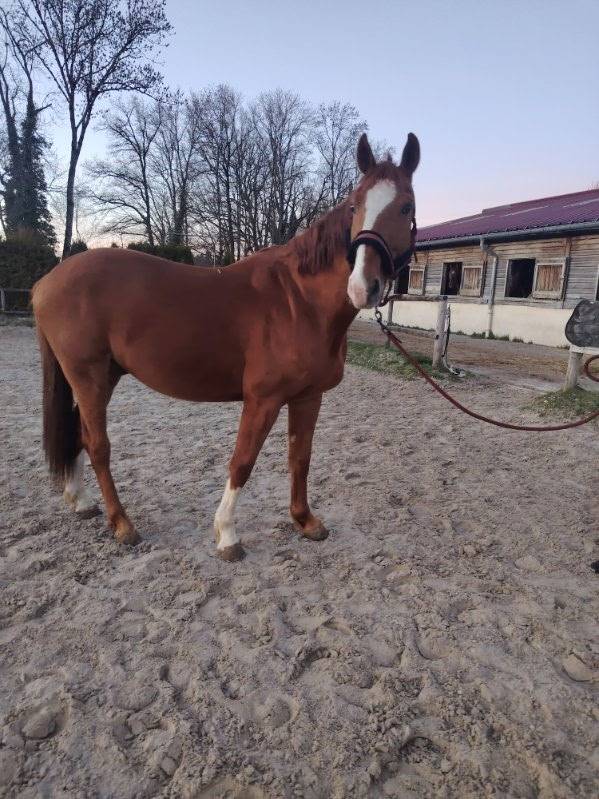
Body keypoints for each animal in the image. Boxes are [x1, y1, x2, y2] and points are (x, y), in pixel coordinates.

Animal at [32, 132, 420, 561]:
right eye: (354, 206)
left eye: (406, 207)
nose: (363, 286)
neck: (299, 302)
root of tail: (46, 282)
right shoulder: (263, 399)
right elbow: (242, 462)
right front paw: (228, 536)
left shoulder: (308, 396)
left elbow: (300, 458)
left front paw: (305, 521)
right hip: (88, 377)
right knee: (98, 445)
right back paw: (122, 524)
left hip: (103, 376)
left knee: (78, 433)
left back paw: (82, 502)